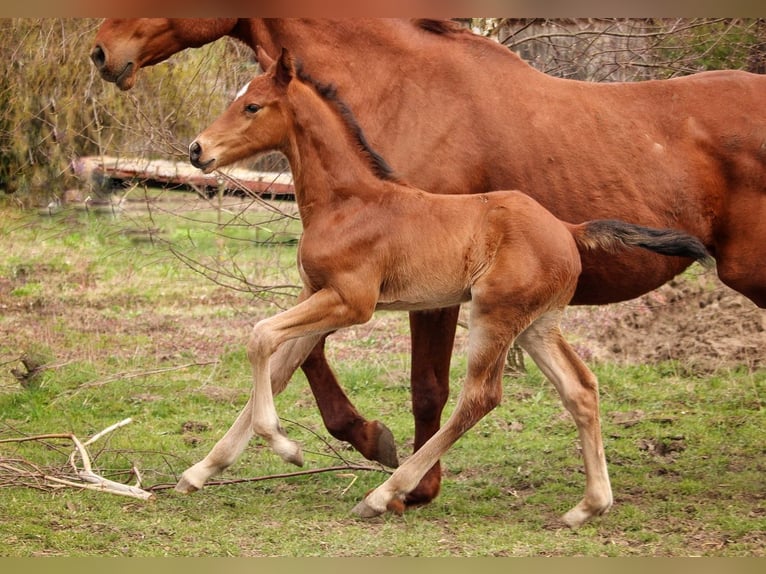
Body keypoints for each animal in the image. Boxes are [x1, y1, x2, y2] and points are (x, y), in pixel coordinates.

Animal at [90, 18, 766, 508]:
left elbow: (263, 340)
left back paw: (385, 493)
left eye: (253, 106)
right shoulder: (319, 297)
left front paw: (287, 447)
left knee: (480, 397)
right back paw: (589, 505)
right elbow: (281, 361)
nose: (196, 150)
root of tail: (567, 228)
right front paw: (200, 471)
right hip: (537, 324)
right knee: (580, 388)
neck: (351, 199)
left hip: (494, 315)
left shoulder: (352, 302)